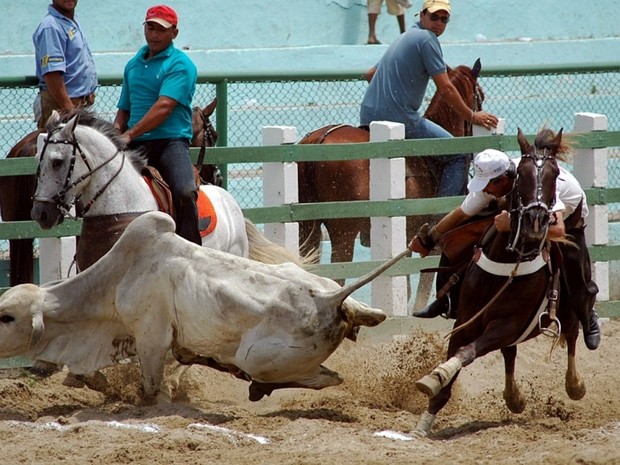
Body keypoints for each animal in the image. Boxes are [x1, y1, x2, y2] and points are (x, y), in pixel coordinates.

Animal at [0, 212, 402, 400]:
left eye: (6, 317)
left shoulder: (150, 338)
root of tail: (331, 301)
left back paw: (255, 386)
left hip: (257, 358)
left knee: (323, 378)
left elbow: (152, 387)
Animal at [414, 128, 584, 438]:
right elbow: (454, 363)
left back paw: (574, 384)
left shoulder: (506, 325)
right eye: (521, 174)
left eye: (555, 174)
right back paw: (514, 398)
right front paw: (424, 422)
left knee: (573, 333)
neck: (505, 266)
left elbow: (467, 353)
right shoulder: (466, 321)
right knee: (510, 353)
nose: (536, 220)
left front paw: (437, 374)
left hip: (566, 308)